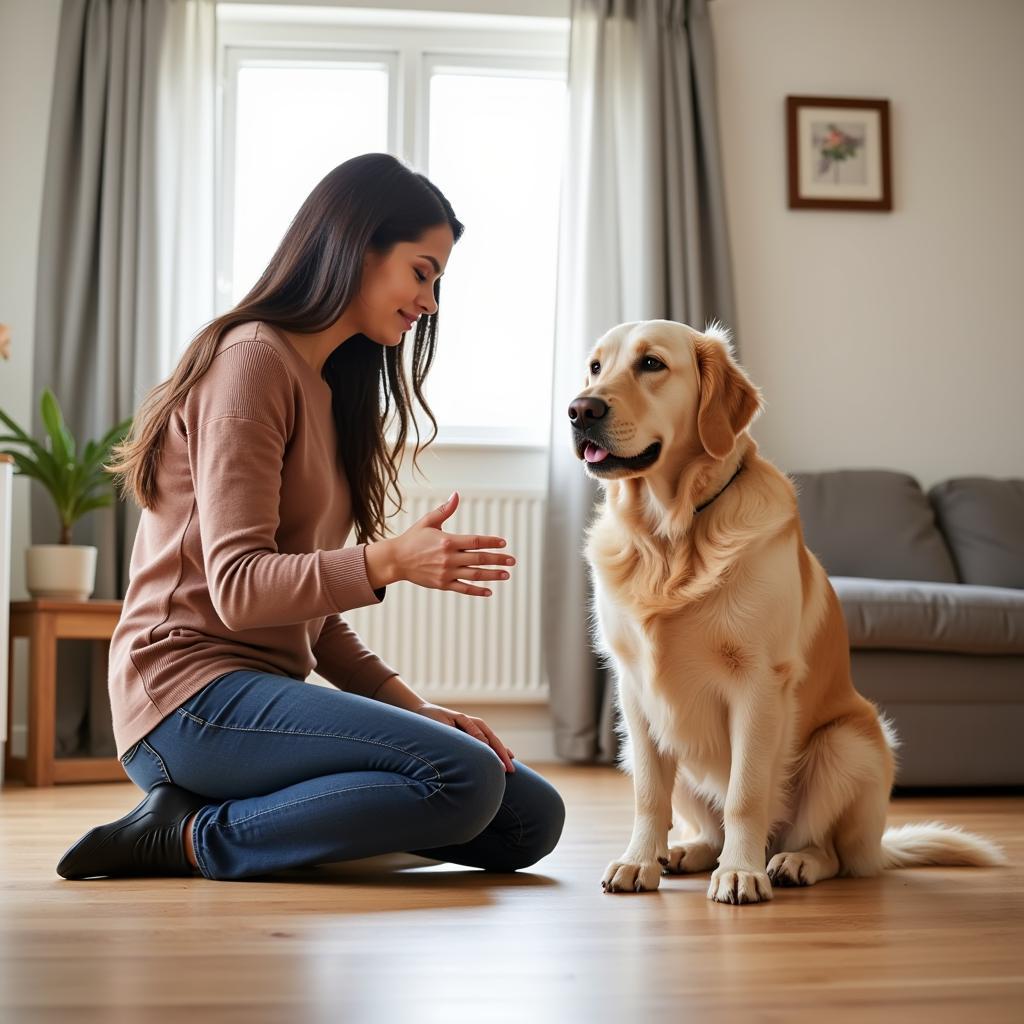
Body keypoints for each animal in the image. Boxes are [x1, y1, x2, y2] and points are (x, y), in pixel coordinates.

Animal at [569, 317, 1007, 905]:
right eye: (595, 367)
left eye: (652, 364)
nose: (580, 410)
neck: (671, 536)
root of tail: (879, 848)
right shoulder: (634, 692)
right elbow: (648, 794)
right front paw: (639, 861)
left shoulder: (759, 682)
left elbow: (746, 793)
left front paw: (740, 872)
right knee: (705, 825)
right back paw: (684, 851)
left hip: (846, 744)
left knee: (831, 852)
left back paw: (789, 862)